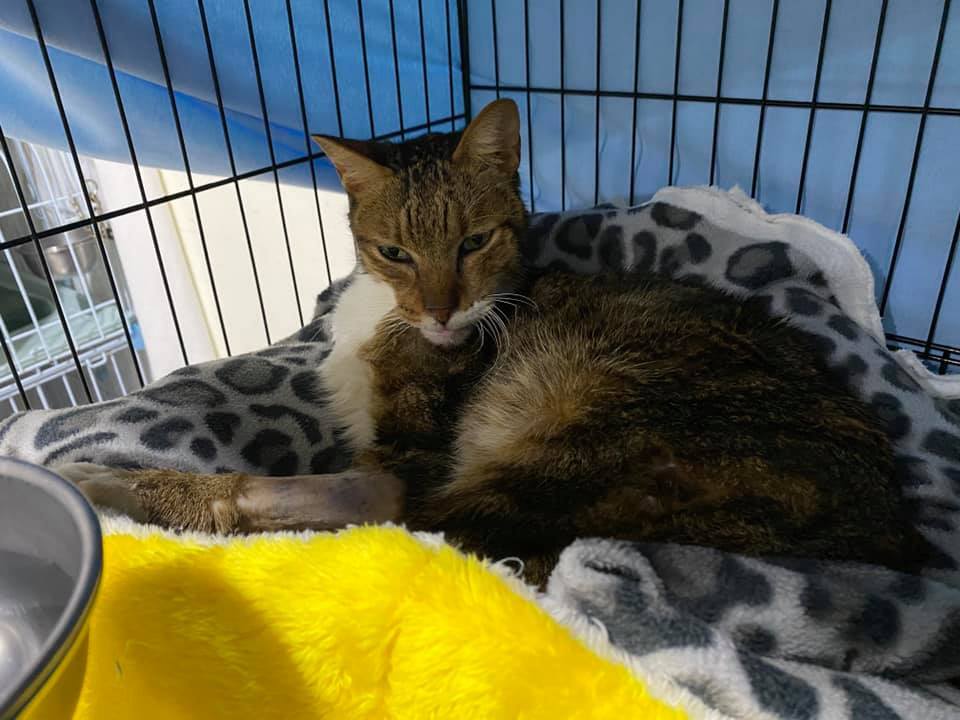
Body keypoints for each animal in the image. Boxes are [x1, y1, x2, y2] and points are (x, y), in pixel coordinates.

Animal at [60, 99, 928, 585]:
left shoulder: (408, 450)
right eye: (394, 252)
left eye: (474, 242)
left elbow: (346, 493)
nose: (444, 313)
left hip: (583, 422)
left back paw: (103, 485)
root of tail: (883, 532)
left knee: (395, 518)